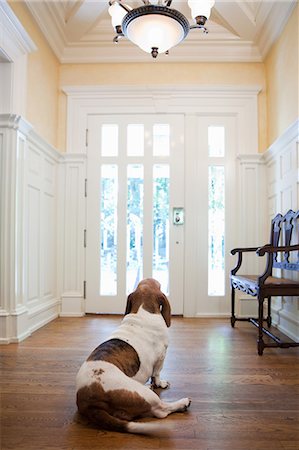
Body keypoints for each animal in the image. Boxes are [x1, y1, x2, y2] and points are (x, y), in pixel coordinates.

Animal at [76, 278, 191, 432]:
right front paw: (160, 383)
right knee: (161, 410)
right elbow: (157, 374)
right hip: (146, 396)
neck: (142, 310)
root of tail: (89, 403)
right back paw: (182, 403)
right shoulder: (161, 357)